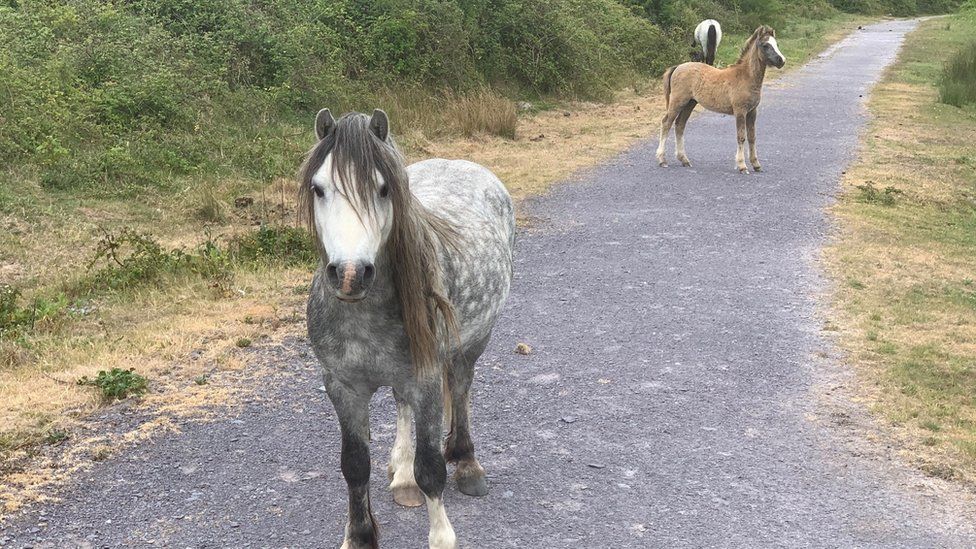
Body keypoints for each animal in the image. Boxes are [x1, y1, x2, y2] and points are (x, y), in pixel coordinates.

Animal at [298, 109, 516, 544]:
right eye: (318, 188)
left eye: (384, 189)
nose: (349, 275)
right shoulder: (342, 387)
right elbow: (354, 465)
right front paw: (359, 536)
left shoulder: (427, 379)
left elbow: (431, 468)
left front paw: (442, 538)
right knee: (401, 403)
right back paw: (402, 474)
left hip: (473, 344)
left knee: (461, 388)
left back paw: (467, 462)